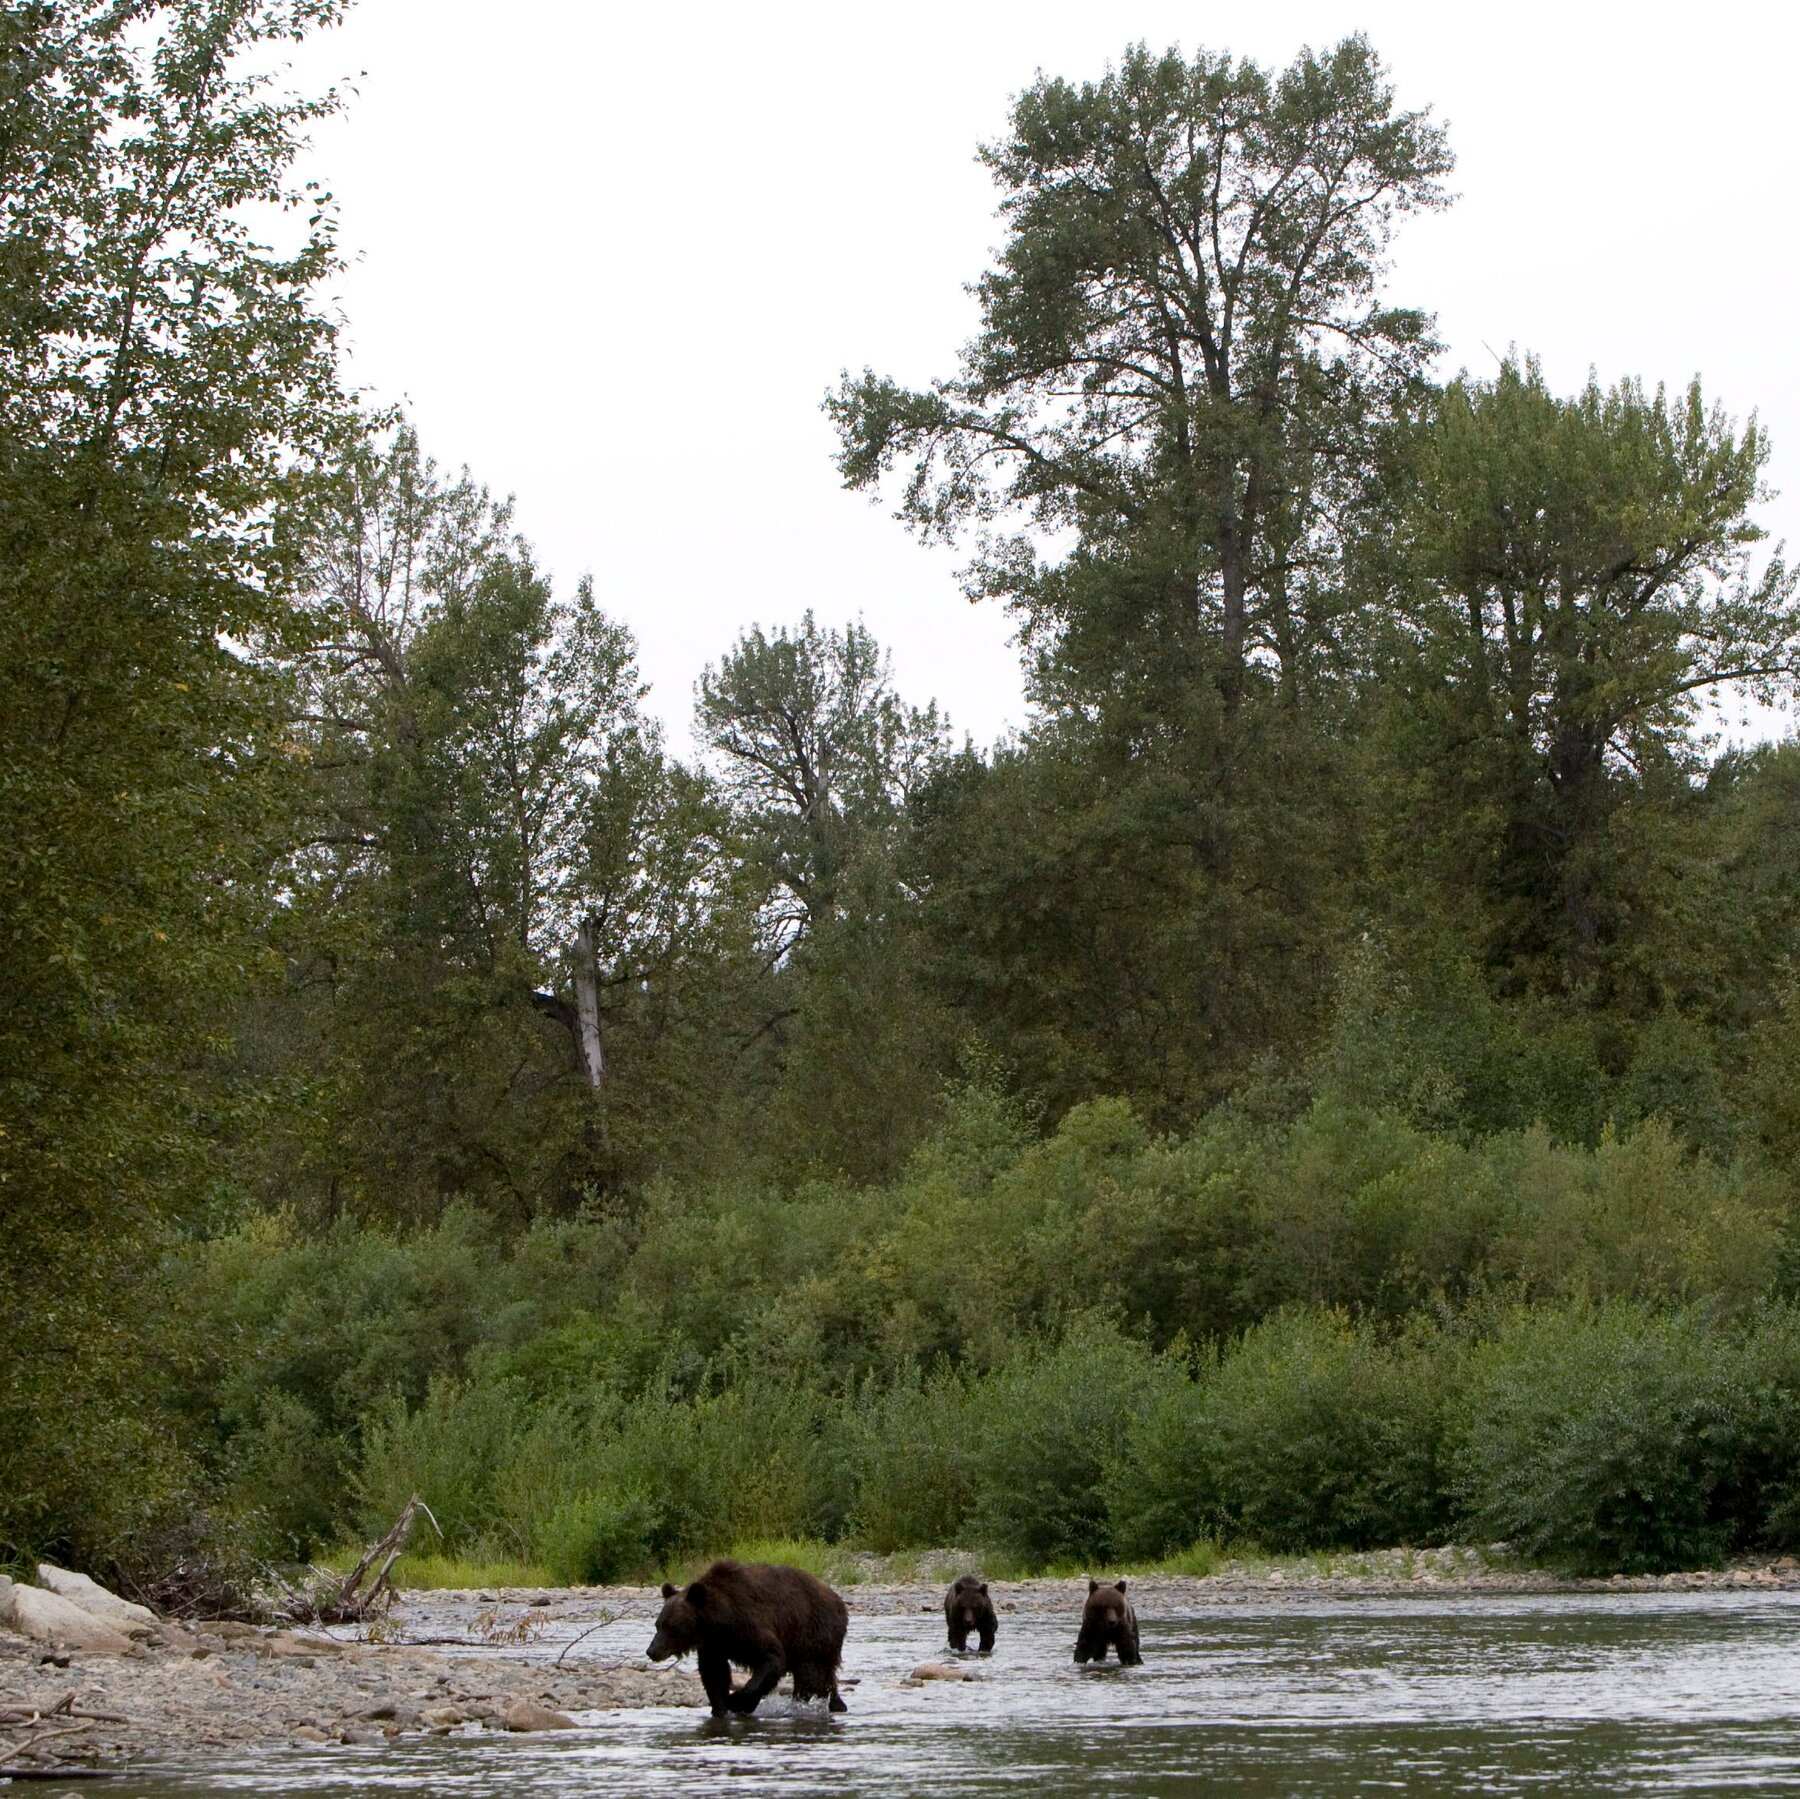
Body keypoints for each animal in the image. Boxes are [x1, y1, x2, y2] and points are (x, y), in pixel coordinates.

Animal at [646, 1558, 849, 1716]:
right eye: (658, 1624)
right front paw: (720, 1708)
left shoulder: (748, 1625)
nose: (652, 1650)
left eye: (672, 1626)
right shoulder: (714, 1645)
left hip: (812, 1632)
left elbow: (771, 1658)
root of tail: (839, 1601)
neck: (719, 1620)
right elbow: (714, 1674)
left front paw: (737, 1702)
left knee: (811, 1673)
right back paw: (836, 1704)